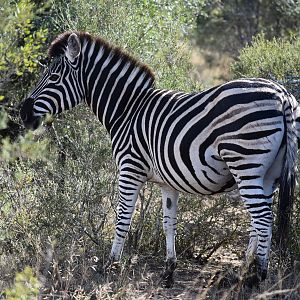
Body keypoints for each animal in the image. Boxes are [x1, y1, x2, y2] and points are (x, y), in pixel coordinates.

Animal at [19, 31, 298, 288]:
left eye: (54, 78)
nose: (22, 113)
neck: (127, 110)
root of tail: (282, 94)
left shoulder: (129, 168)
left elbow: (123, 217)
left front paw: (111, 265)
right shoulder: (168, 182)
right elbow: (168, 223)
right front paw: (168, 271)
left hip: (245, 163)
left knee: (263, 219)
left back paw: (257, 277)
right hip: (268, 174)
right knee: (258, 222)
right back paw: (242, 273)